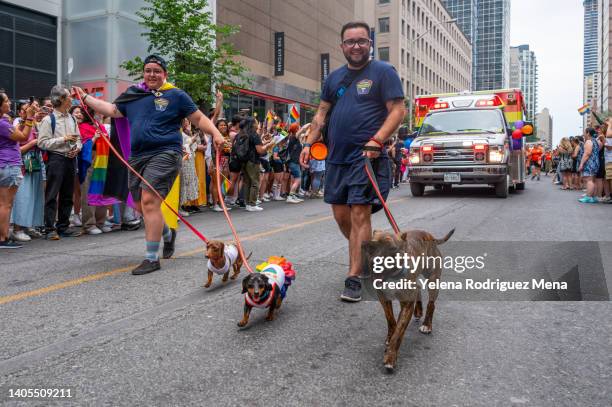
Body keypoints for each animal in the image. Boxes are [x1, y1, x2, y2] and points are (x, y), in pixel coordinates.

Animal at [358, 228, 454, 374]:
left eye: (392, 248)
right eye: (372, 245)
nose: (375, 261)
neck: (391, 276)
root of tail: (429, 235)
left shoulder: (407, 304)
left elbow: (398, 332)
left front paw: (390, 358)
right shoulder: (383, 298)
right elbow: (391, 320)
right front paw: (389, 336)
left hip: (433, 279)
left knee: (431, 304)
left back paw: (427, 325)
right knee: (418, 288)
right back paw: (419, 311)